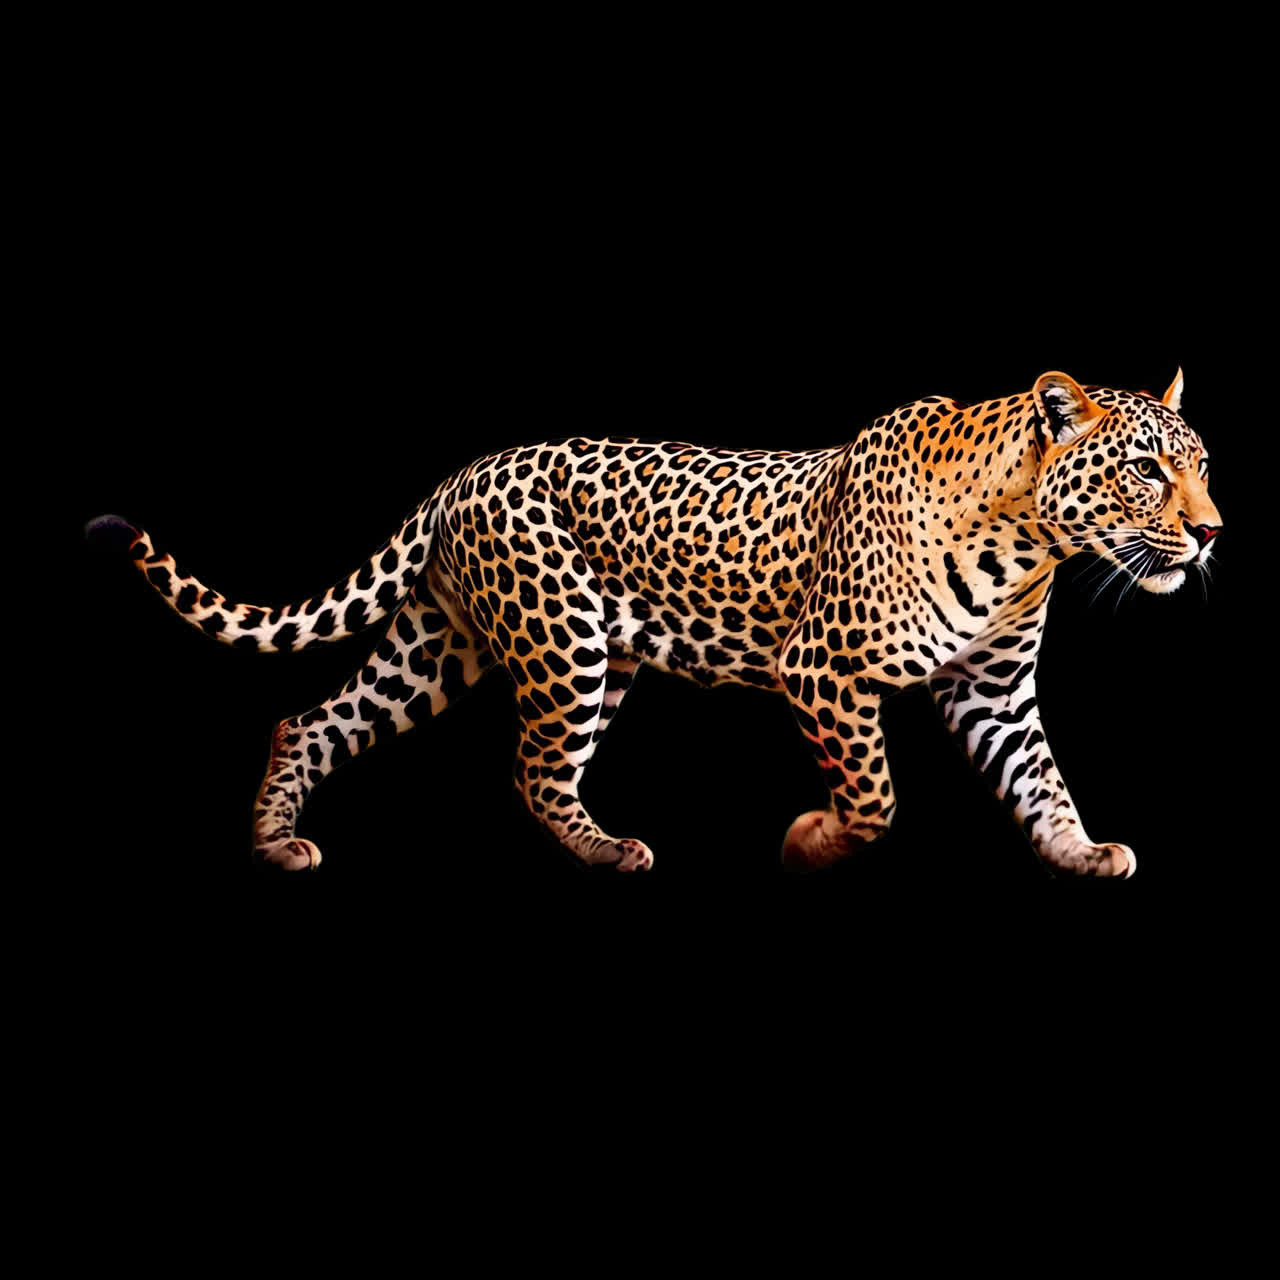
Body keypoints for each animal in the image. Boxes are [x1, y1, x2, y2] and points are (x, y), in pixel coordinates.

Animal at [88, 368, 1220, 877]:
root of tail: (461, 474)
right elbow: (875, 794)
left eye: (1203, 462)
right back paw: (606, 850)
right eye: (1143, 468)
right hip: (564, 642)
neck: (1030, 543)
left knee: (314, 719)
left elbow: (1042, 778)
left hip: (439, 644)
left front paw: (1079, 851)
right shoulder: (822, 671)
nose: (1212, 532)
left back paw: (274, 843)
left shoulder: (993, 686)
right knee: (531, 767)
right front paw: (813, 841)